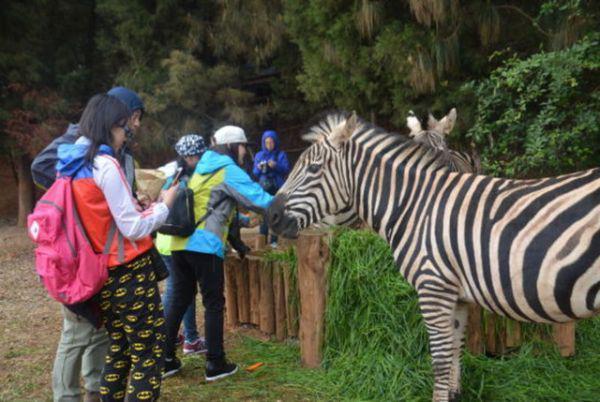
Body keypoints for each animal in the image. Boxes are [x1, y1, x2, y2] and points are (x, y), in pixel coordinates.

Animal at [268, 110, 600, 402]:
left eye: (313, 169)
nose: (270, 215)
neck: (416, 207)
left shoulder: (433, 286)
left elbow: (439, 359)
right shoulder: (457, 294)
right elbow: (456, 350)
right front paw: (455, 393)